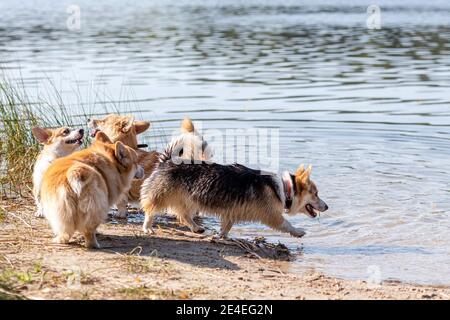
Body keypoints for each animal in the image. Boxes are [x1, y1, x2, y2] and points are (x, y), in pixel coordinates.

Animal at [140, 140, 326, 238]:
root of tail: (166, 161)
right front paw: (298, 231)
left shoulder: (230, 213)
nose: (327, 206)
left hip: (190, 199)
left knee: (184, 215)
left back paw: (196, 228)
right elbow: (286, 223)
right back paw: (147, 226)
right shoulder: (271, 215)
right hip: (162, 195)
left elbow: (226, 227)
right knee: (151, 210)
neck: (284, 188)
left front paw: (220, 237)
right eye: (315, 194)